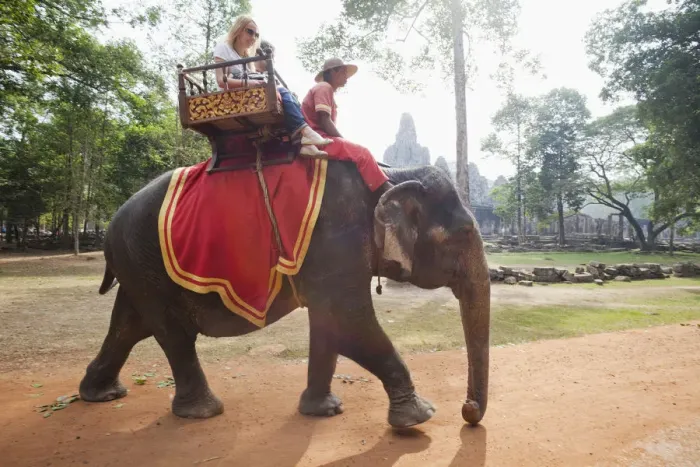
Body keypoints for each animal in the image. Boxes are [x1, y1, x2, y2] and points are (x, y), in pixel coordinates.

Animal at [79, 160, 491, 428]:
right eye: (465, 233)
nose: (467, 411)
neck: (391, 174)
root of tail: (109, 226)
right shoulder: (336, 238)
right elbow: (350, 324)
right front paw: (420, 417)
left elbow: (329, 326)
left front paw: (324, 410)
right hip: (145, 263)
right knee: (172, 333)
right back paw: (203, 412)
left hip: (138, 268)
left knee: (129, 327)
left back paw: (102, 395)